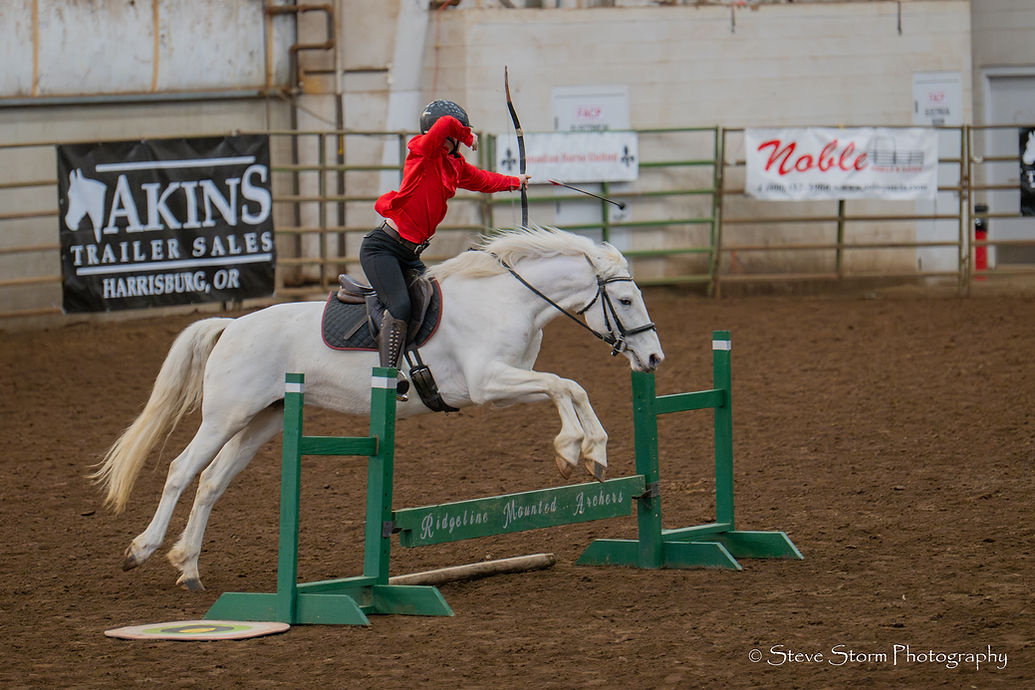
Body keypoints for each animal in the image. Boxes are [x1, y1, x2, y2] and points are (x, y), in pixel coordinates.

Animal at [91, 227, 665, 591]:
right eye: (627, 301)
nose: (654, 358)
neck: (505, 302)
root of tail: (231, 325)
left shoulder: (506, 384)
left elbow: (571, 388)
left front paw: (595, 454)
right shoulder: (489, 384)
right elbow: (564, 386)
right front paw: (572, 450)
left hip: (263, 420)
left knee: (211, 481)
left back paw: (188, 568)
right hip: (225, 417)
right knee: (180, 470)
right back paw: (141, 550)